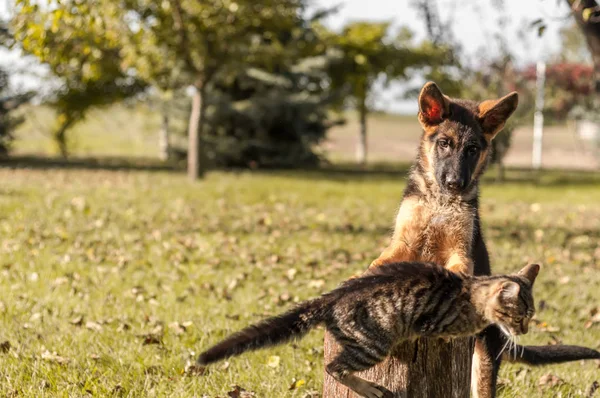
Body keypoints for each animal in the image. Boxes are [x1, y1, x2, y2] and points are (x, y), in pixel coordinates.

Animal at [197, 262, 540, 398]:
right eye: (519, 317)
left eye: (531, 316)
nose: (524, 330)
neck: (472, 294)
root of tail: (332, 297)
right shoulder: (433, 324)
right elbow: (443, 333)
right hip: (374, 344)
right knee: (333, 367)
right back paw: (367, 388)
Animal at [366, 82, 600, 396]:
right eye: (444, 144)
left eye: (472, 150)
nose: (455, 183)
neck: (440, 202)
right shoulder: (403, 242)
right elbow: (380, 262)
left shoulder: (461, 251)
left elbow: (456, 270)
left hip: (483, 361)